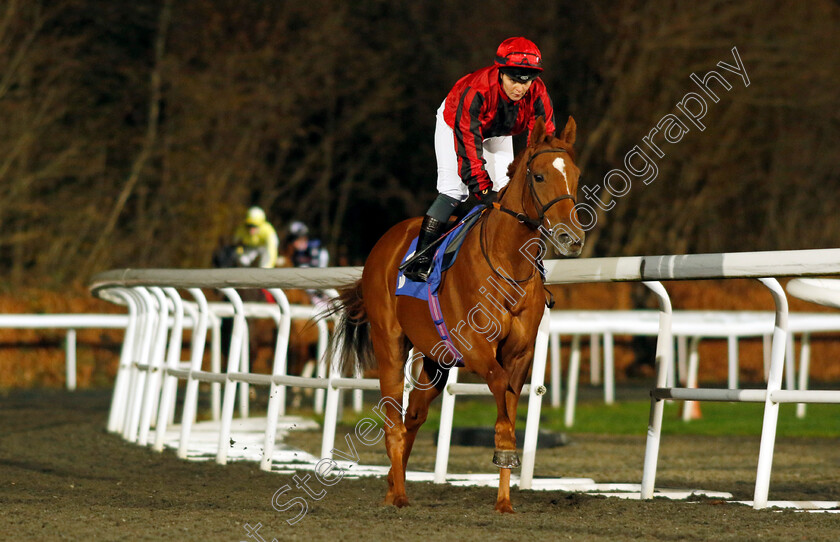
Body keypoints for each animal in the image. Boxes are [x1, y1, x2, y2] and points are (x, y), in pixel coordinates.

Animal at [332, 116, 580, 516]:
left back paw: (392, 485)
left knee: (413, 416)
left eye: (575, 174)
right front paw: (503, 454)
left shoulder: (520, 353)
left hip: (436, 359)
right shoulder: (477, 348)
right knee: (393, 420)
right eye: (540, 176)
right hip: (390, 345)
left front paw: (505, 501)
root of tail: (387, 240)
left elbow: (510, 404)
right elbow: (499, 391)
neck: (508, 262)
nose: (571, 238)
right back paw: (399, 496)